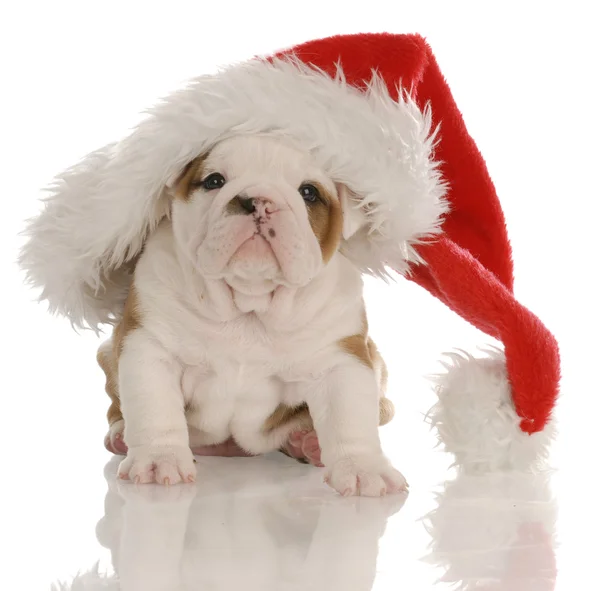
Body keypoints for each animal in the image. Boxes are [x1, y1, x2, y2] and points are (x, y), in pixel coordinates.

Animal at [98, 132, 408, 498]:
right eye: (214, 181)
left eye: (309, 192)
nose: (258, 201)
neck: (250, 306)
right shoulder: (150, 343)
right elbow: (154, 406)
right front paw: (160, 460)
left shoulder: (341, 357)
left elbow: (350, 415)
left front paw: (363, 468)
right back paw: (121, 436)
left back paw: (310, 443)